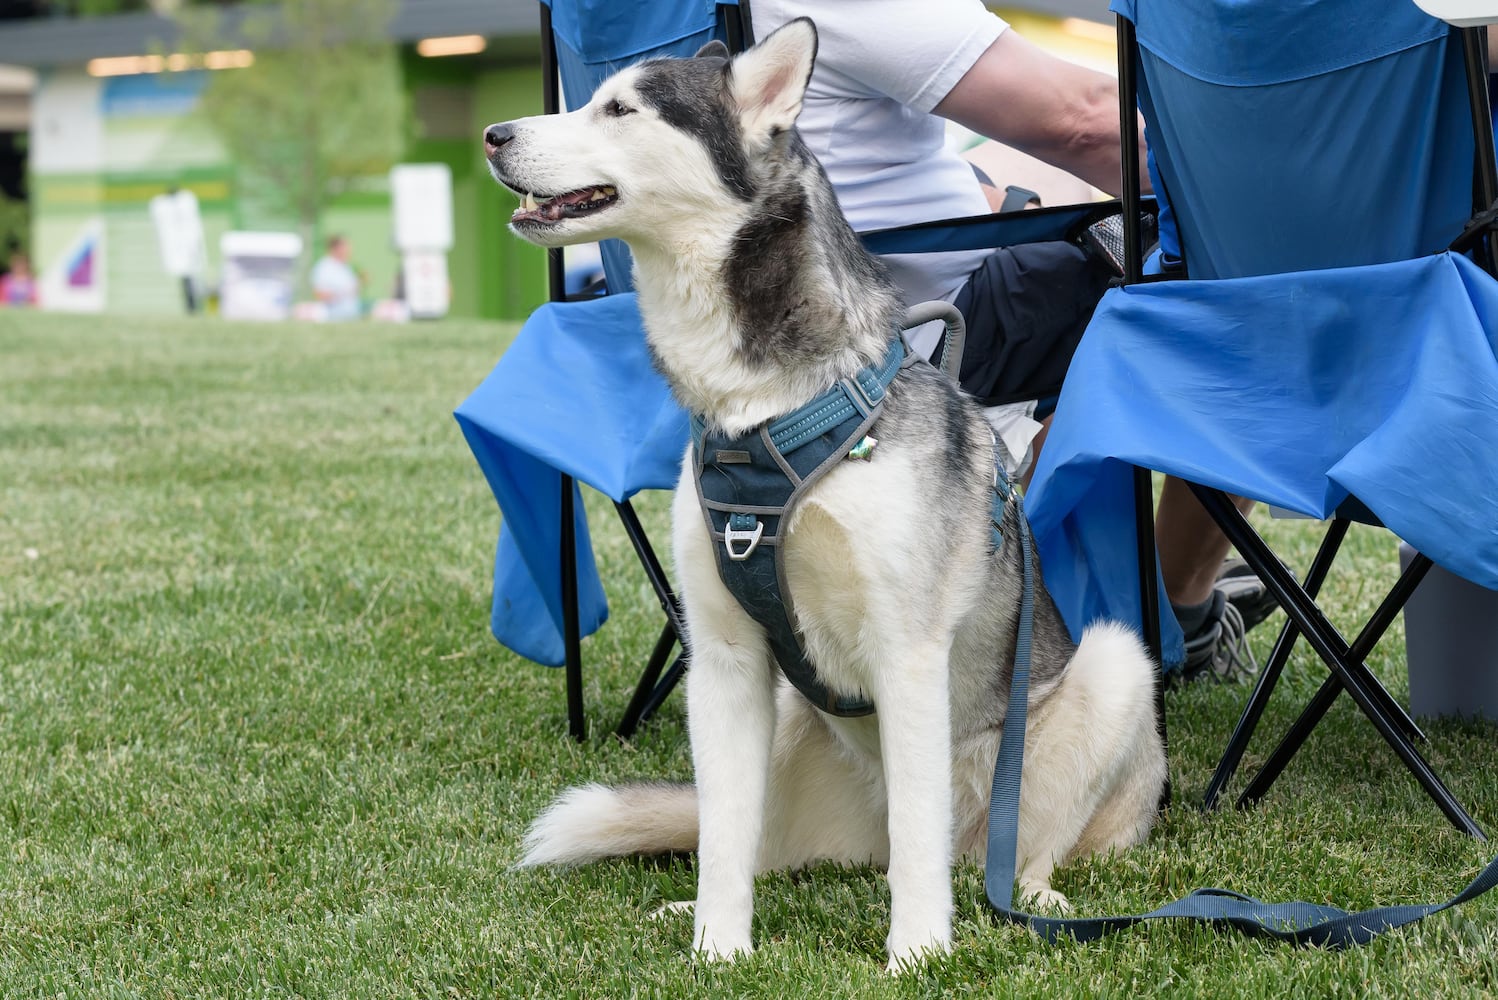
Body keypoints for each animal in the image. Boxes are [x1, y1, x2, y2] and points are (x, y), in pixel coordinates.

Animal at [485, 17, 1162, 970]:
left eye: (620, 110)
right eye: (593, 98)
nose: (493, 135)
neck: (763, 412)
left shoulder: (907, 650)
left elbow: (918, 840)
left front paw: (918, 953)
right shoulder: (725, 659)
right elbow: (725, 837)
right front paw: (716, 951)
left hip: (1112, 668)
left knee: (1007, 845)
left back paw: (1029, 893)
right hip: (790, 729)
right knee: (766, 846)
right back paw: (686, 908)